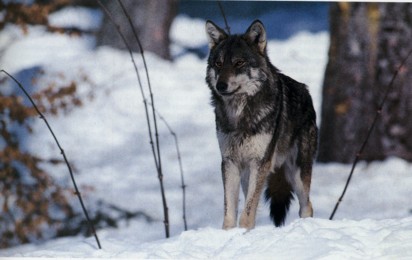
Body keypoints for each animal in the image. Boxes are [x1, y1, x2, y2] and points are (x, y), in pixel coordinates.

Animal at [206, 20, 318, 230]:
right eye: (218, 64)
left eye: (239, 63)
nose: (221, 86)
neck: (239, 114)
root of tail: (306, 92)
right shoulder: (230, 162)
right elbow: (230, 212)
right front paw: (229, 233)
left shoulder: (260, 162)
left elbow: (247, 213)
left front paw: (243, 232)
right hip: (247, 175)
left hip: (297, 172)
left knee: (307, 206)